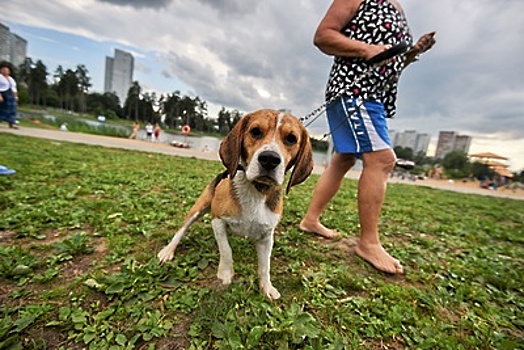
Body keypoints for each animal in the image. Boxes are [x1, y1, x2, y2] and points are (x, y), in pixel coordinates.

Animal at [158, 108, 314, 298]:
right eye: (255, 131)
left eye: (291, 138)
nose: (269, 159)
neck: (257, 189)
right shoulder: (217, 220)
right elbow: (226, 250)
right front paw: (225, 275)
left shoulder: (266, 237)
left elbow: (265, 266)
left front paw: (266, 287)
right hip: (198, 209)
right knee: (181, 230)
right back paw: (168, 250)